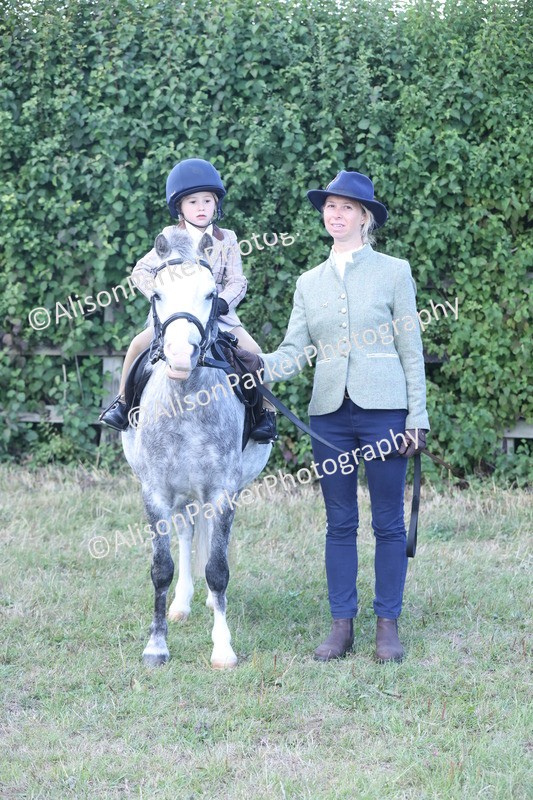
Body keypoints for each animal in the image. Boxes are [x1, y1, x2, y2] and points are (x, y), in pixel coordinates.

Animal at [122, 228, 272, 668]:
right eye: (157, 294)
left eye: (210, 294)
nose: (179, 357)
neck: (185, 398)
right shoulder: (155, 492)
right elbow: (161, 567)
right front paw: (156, 645)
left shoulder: (222, 491)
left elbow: (218, 568)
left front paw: (222, 648)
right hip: (181, 493)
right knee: (188, 534)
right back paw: (183, 603)